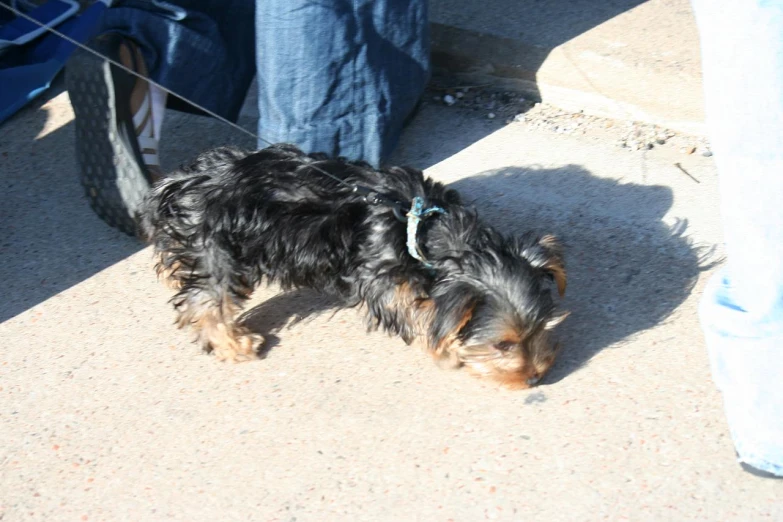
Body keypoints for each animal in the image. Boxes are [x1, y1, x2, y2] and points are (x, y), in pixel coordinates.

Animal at [136, 142, 568, 386]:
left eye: (540, 328)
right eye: (503, 344)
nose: (535, 378)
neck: (424, 228)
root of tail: (176, 183)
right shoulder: (381, 277)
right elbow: (418, 312)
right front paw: (445, 349)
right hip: (217, 249)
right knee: (205, 301)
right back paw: (233, 343)